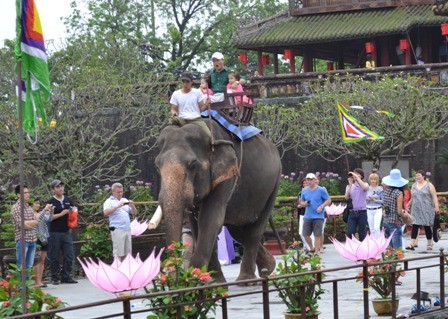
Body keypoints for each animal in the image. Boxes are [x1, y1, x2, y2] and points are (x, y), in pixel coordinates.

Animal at [155, 119, 280, 282]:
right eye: (157, 167)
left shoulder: (227, 175)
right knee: (237, 230)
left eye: (193, 165)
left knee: (255, 229)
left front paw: (196, 279)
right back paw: (268, 268)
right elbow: (196, 225)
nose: (170, 276)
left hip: (273, 185)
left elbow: (209, 219)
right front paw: (214, 281)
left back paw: (246, 281)